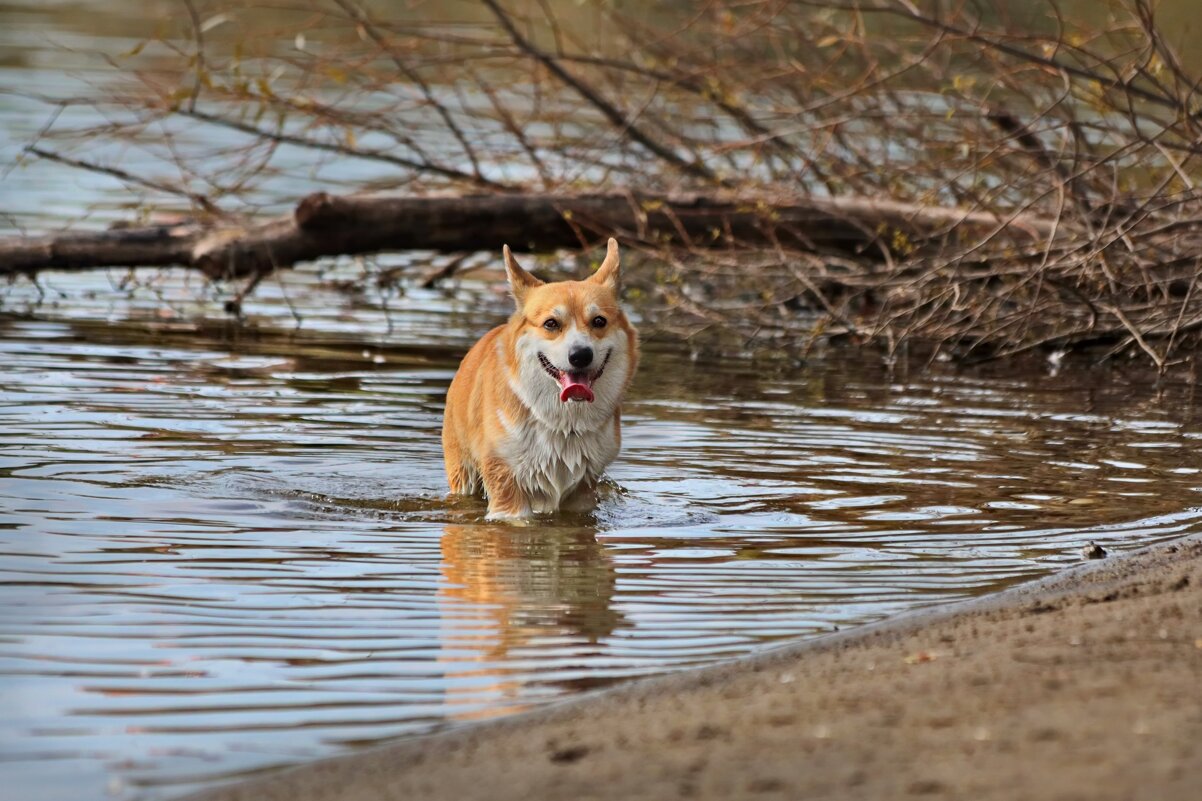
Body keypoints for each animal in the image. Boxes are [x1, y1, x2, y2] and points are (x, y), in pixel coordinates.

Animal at [444, 238, 639, 517]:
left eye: (599, 321)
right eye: (551, 324)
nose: (581, 355)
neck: (563, 426)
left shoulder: (582, 493)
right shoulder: (507, 493)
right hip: (463, 473)